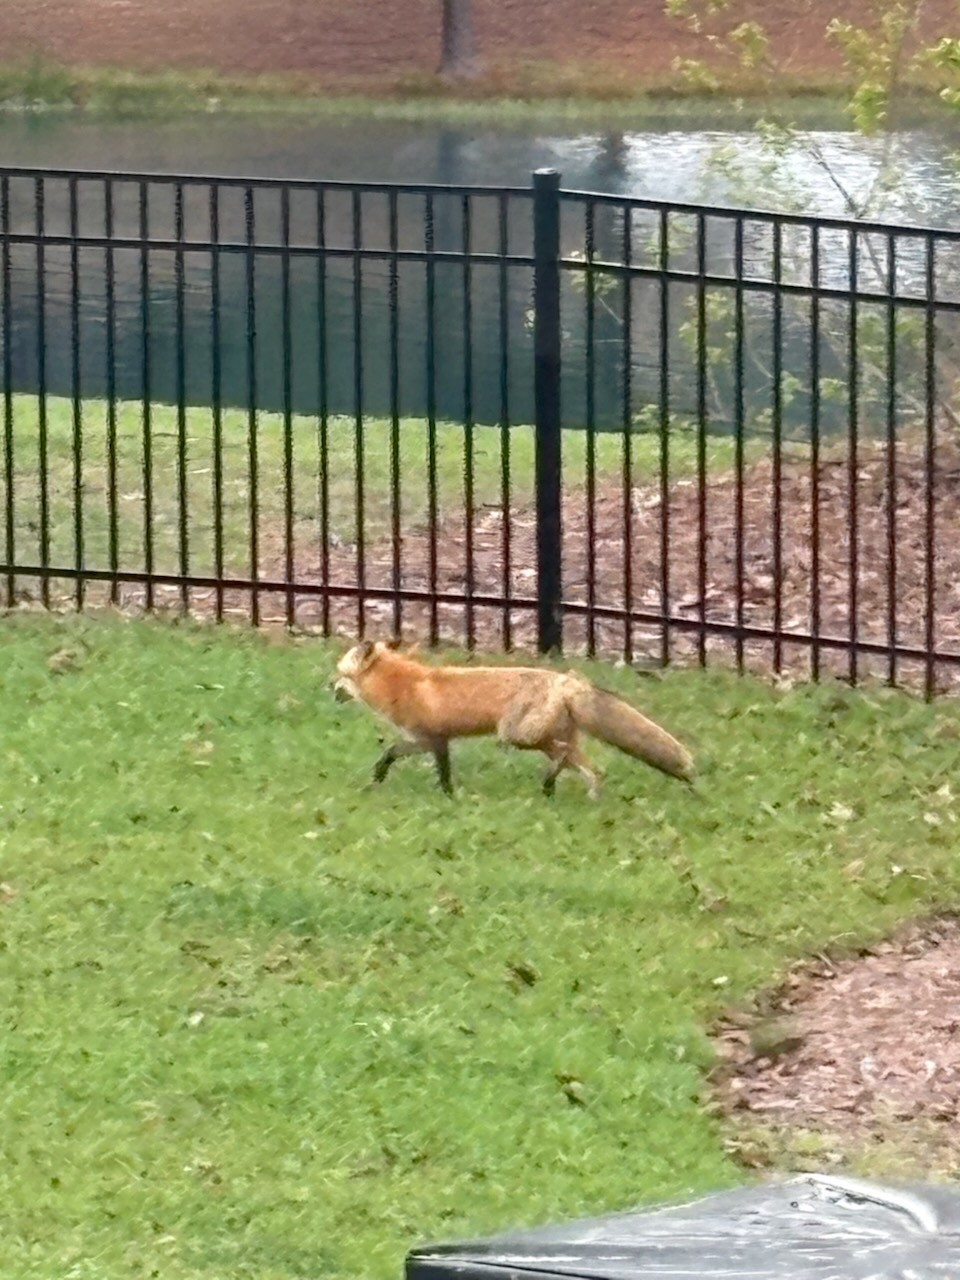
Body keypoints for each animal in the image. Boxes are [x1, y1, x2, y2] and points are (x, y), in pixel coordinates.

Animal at [332, 640, 695, 798]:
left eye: (339, 674)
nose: (327, 686)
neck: (401, 685)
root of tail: (567, 680)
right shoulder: (426, 739)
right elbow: (395, 754)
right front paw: (379, 776)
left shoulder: (433, 738)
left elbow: (435, 769)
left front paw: (448, 796)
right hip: (546, 737)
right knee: (591, 768)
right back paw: (577, 795)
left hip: (516, 735)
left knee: (566, 756)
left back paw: (549, 784)